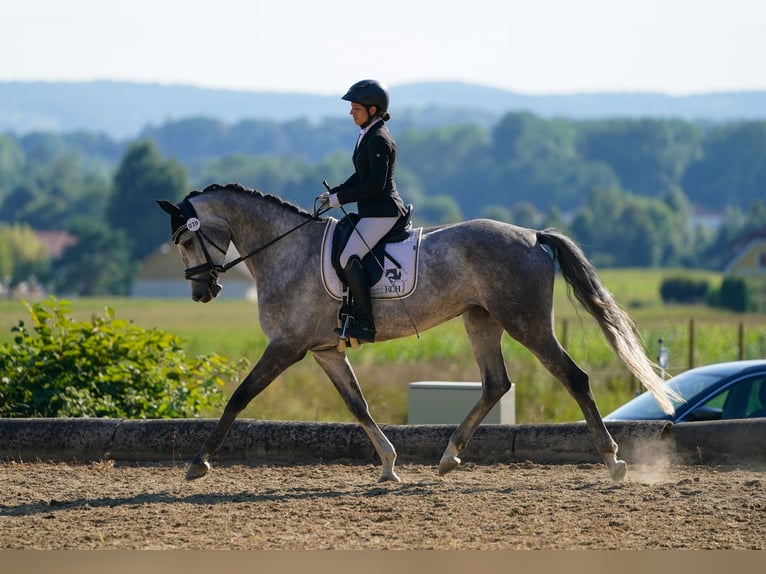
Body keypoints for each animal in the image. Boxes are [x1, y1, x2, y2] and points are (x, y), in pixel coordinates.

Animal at [156, 182, 680, 484]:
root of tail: (534, 235)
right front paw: (389, 464)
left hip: (525, 323)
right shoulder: (325, 350)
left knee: (574, 378)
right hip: (480, 321)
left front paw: (199, 462)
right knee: (495, 384)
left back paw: (612, 461)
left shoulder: (286, 346)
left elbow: (239, 397)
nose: (202, 291)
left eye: (185, 240)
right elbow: (358, 405)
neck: (286, 251)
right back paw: (448, 457)